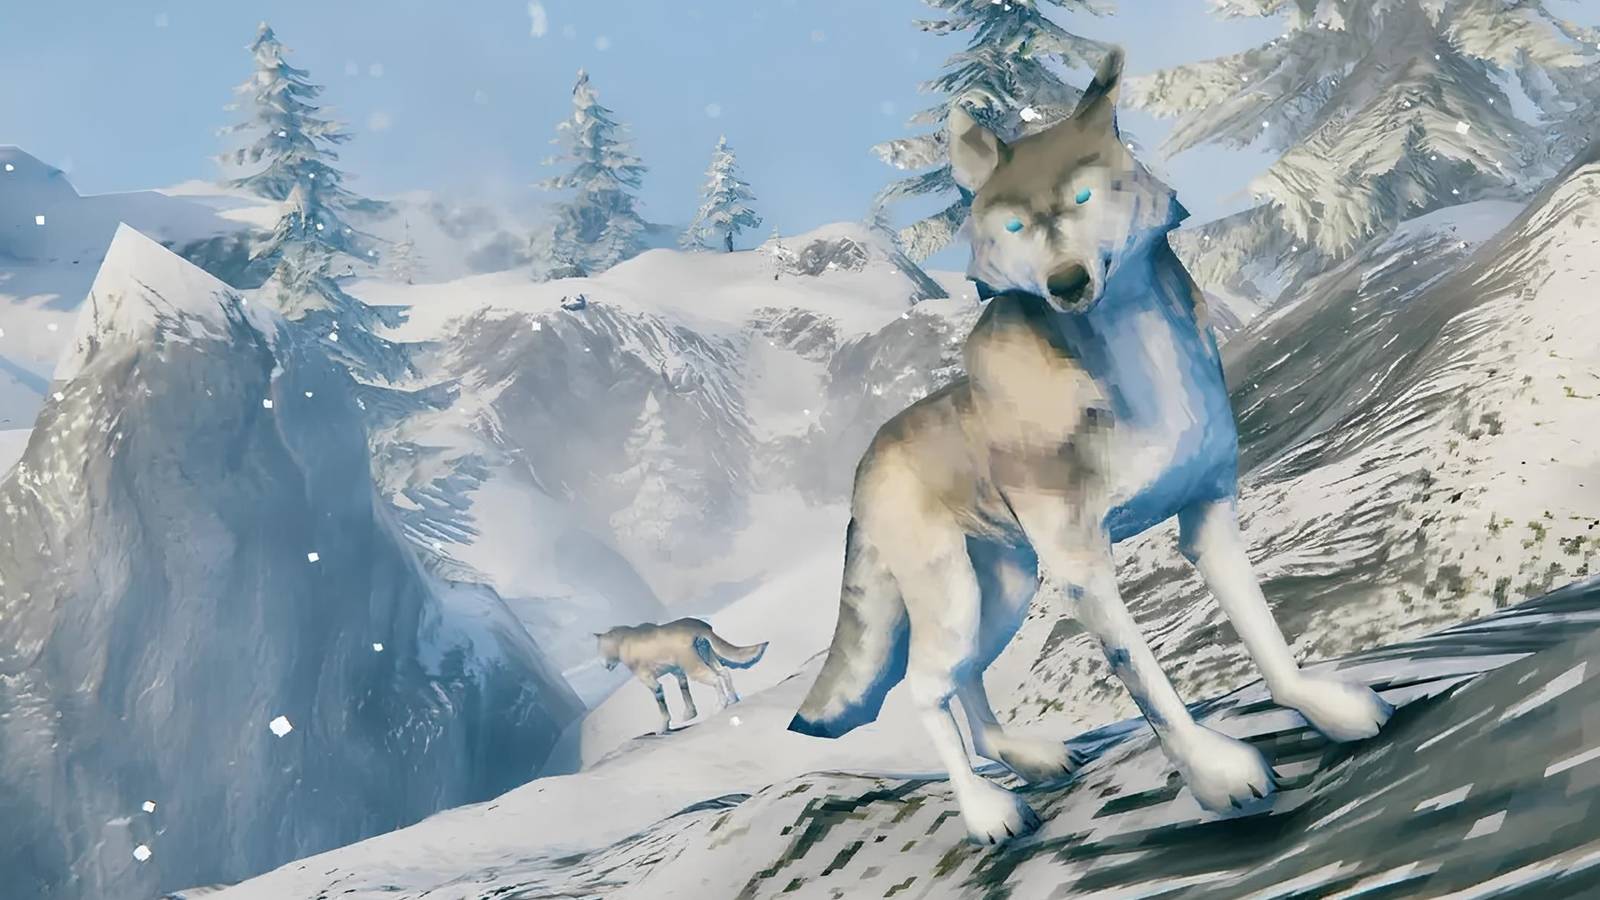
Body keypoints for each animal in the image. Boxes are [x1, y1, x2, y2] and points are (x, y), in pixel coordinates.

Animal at [596, 618, 768, 734]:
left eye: (600, 650)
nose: (603, 666)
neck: (622, 643)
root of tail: (699, 625)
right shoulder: (678, 671)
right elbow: (684, 690)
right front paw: (690, 714)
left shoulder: (650, 680)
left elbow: (662, 706)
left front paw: (663, 728)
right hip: (707, 656)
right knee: (724, 672)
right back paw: (733, 699)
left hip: (694, 667)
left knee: (715, 678)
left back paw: (720, 706)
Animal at [789, 48, 1392, 844]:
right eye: (1016, 224)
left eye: (1082, 195)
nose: (1067, 281)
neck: (1142, 365)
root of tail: (868, 455)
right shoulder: (1083, 568)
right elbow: (1149, 686)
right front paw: (1216, 775)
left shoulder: (1209, 514)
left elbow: (1264, 633)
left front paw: (1326, 708)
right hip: (957, 594)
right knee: (923, 688)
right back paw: (987, 812)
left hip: (1003, 590)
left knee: (964, 679)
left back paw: (1028, 758)